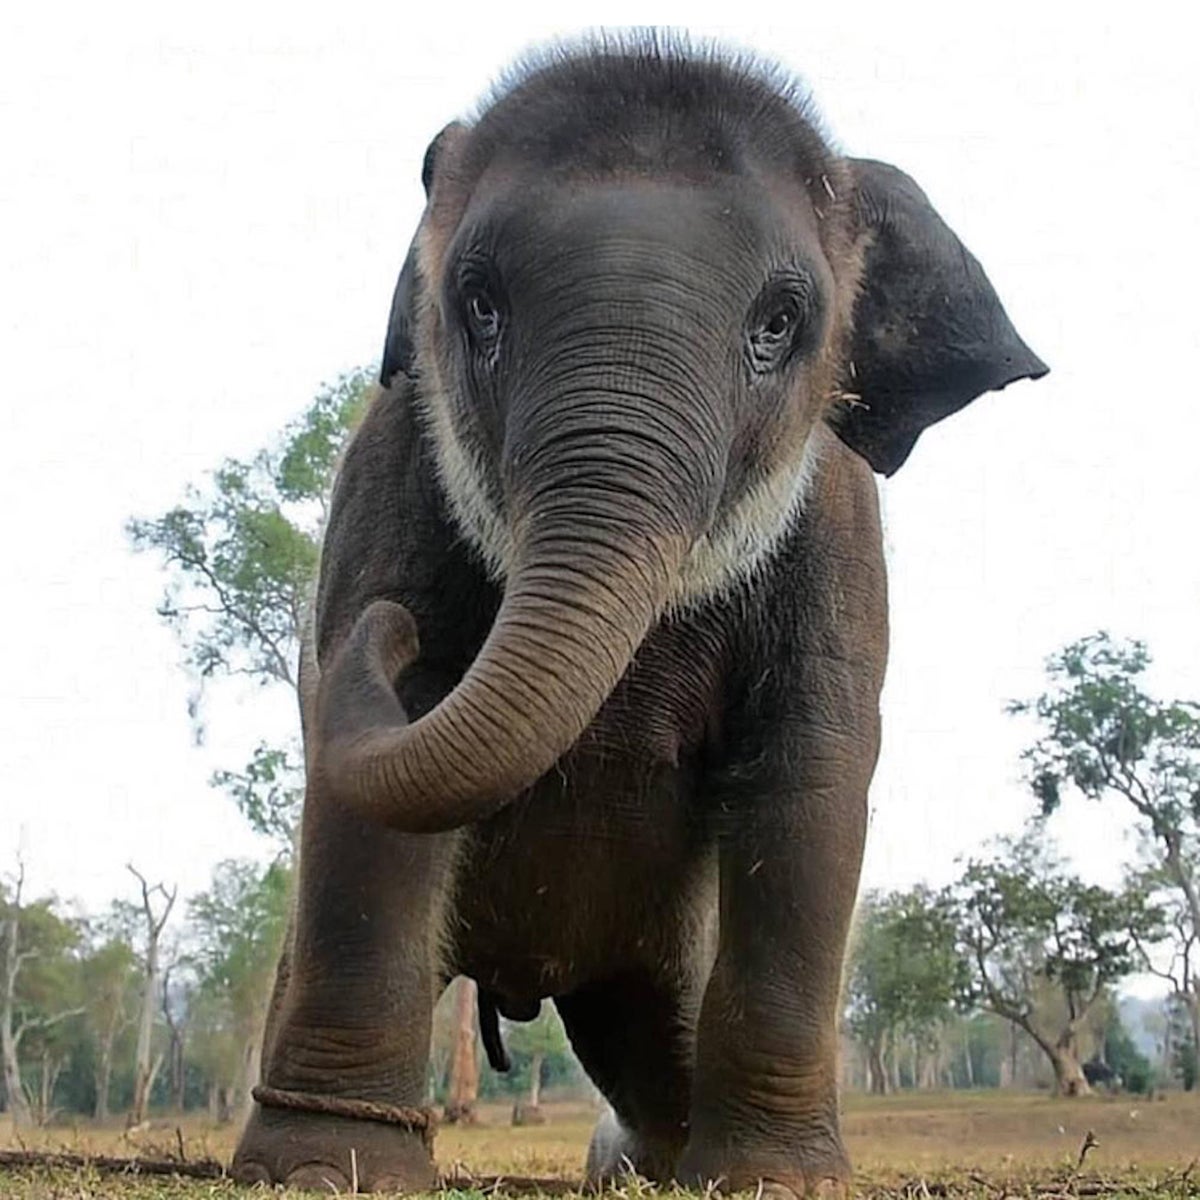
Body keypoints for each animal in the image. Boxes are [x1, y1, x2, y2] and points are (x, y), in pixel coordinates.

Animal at [232, 36, 1046, 1195]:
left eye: (780, 323)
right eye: (479, 303)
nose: (385, 633)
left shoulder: (840, 526)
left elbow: (812, 770)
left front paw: (775, 1179)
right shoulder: (389, 459)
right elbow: (374, 796)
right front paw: (320, 1168)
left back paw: (638, 1160)